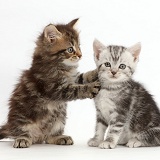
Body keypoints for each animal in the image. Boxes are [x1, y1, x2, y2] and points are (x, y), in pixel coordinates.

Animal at [0, 18, 99, 148]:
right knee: (22, 133)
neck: (60, 66)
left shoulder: (73, 78)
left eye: (79, 47)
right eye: (70, 49)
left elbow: (84, 76)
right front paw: (91, 87)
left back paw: (60, 137)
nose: (80, 55)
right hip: (22, 119)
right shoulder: (55, 88)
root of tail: (38, 136)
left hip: (59, 119)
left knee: (49, 138)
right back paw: (22, 140)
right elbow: (77, 89)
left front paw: (97, 72)